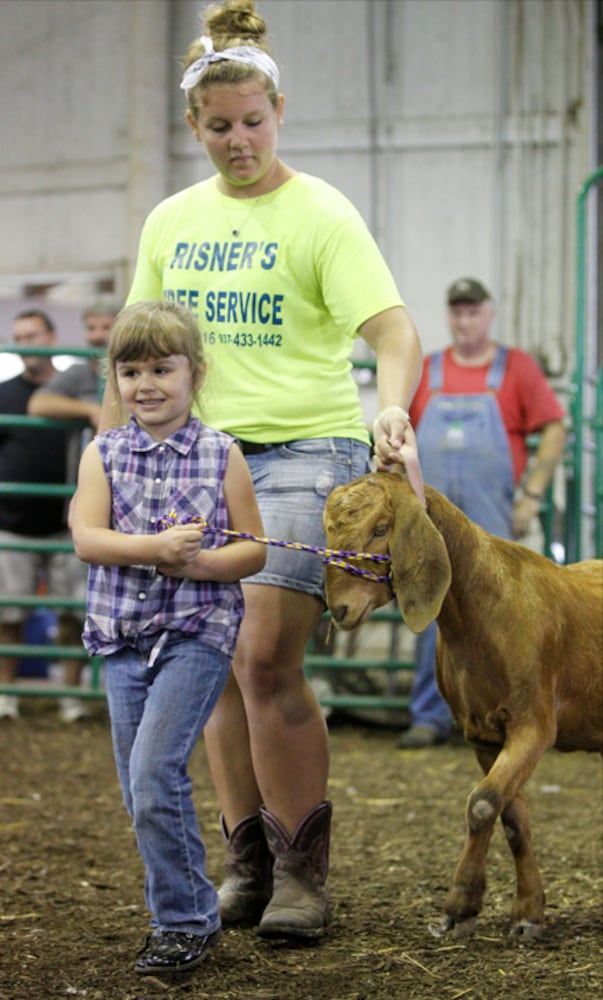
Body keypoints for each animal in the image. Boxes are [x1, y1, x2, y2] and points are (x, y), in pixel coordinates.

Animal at [324, 470, 600, 936]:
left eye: (381, 528)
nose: (340, 609)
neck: (483, 609)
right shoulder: (482, 733)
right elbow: (512, 818)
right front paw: (527, 912)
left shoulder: (533, 723)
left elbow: (483, 803)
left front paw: (461, 901)